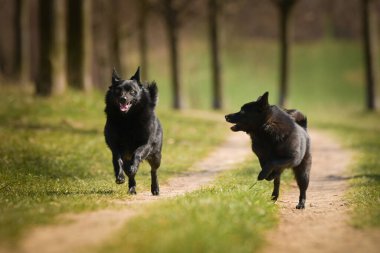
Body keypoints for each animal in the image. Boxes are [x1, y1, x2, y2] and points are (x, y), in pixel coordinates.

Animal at [104, 67, 163, 196]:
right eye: (118, 90)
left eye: (132, 91)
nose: (123, 99)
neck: (128, 119)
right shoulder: (115, 146)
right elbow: (117, 160)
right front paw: (120, 177)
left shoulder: (146, 144)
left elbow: (137, 153)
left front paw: (134, 166)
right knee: (130, 173)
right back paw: (132, 187)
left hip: (156, 156)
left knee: (153, 171)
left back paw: (155, 188)